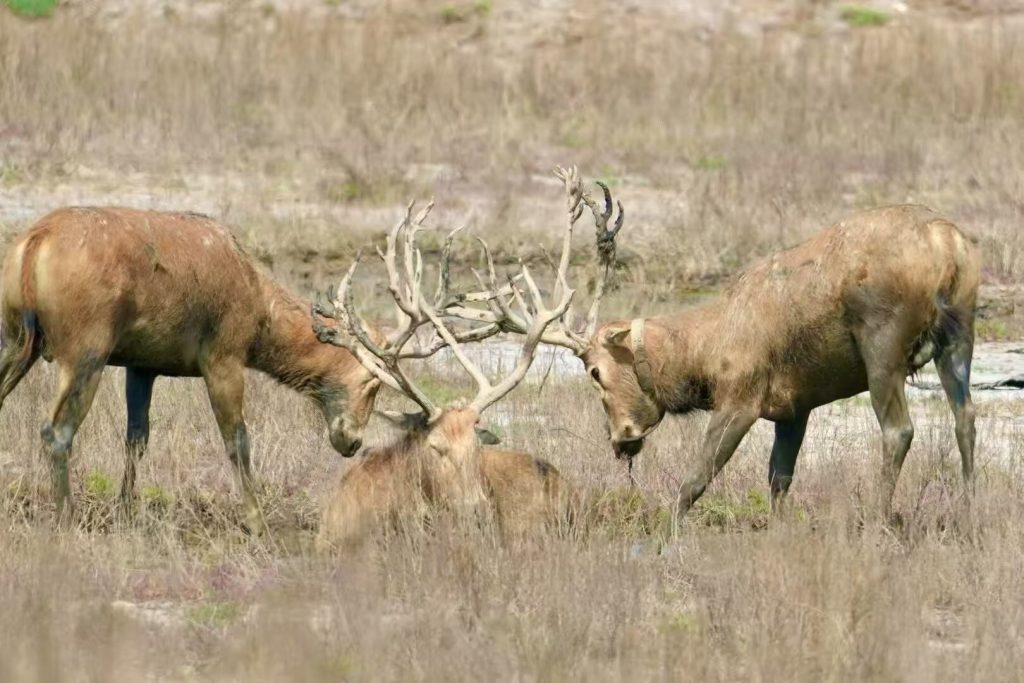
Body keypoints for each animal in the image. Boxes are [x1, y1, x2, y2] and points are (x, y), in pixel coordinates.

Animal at [0, 207, 397, 532]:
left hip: (16, 339)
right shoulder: (224, 356)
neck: (260, 315)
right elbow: (237, 440)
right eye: (373, 380)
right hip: (86, 348)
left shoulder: (142, 365)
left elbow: (136, 438)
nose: (352, 441)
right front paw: (257, 524)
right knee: (56, 430)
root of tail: (34, 243)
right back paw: (66, 519)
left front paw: (125, 510)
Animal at [448, 169, 980, 524]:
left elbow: (697, 477)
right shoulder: (794, 407)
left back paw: (877, 518)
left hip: (882, 339)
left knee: (899, 430)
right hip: (961, 332)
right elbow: (779, 478)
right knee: (965, 418)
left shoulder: (740, 396)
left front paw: (667, 532)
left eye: (594, 372)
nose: (619, 439)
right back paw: (968, 507)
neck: (701, 356)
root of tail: (949, 244)